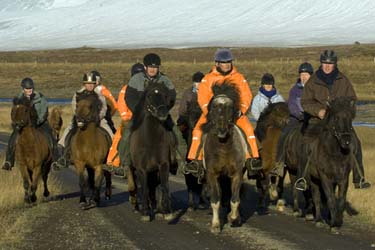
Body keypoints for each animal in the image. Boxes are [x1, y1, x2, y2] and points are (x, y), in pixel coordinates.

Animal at [128, 80, 176, 221]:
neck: (151, 140)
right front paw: (145, 212)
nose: (162, 113)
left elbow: (164, 186)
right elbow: (143, 188)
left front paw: (167, 211)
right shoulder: (141, 169)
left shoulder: (163, 165)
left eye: (166, 95)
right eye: (149, 96)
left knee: (154, 187)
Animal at [201, 82, 248, 232]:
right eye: (214, 107)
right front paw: (216, 225)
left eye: (230, 108)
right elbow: (216, 200)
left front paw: (233, 218)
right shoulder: (212, 174)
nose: (221, 130)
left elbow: (235, 199)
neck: (223, 148)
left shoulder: (237, 173)